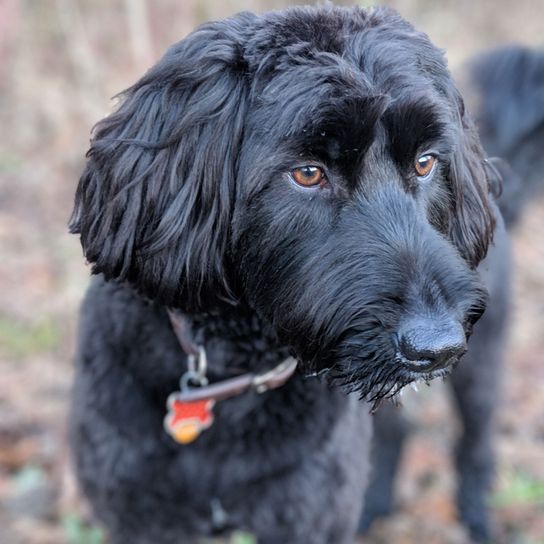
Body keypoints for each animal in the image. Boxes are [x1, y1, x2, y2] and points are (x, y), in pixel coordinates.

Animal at [70, 5, 500, 544]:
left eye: (424, 163)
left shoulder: (306, 513)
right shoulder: (140, 516)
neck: (233, 368)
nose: (437, 347)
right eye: (308, 173)